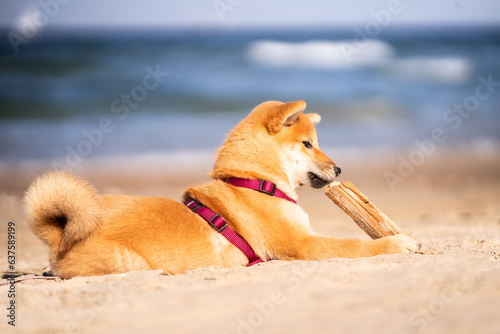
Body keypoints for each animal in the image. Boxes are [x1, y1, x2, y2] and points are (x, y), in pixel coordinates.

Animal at [24, 100, 422, 278]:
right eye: (308, 144)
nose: (339, 168)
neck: (255, 181)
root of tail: (59, 237)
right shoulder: (300, 244)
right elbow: (355, 246)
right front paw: (397, 243)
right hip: (128, 262)